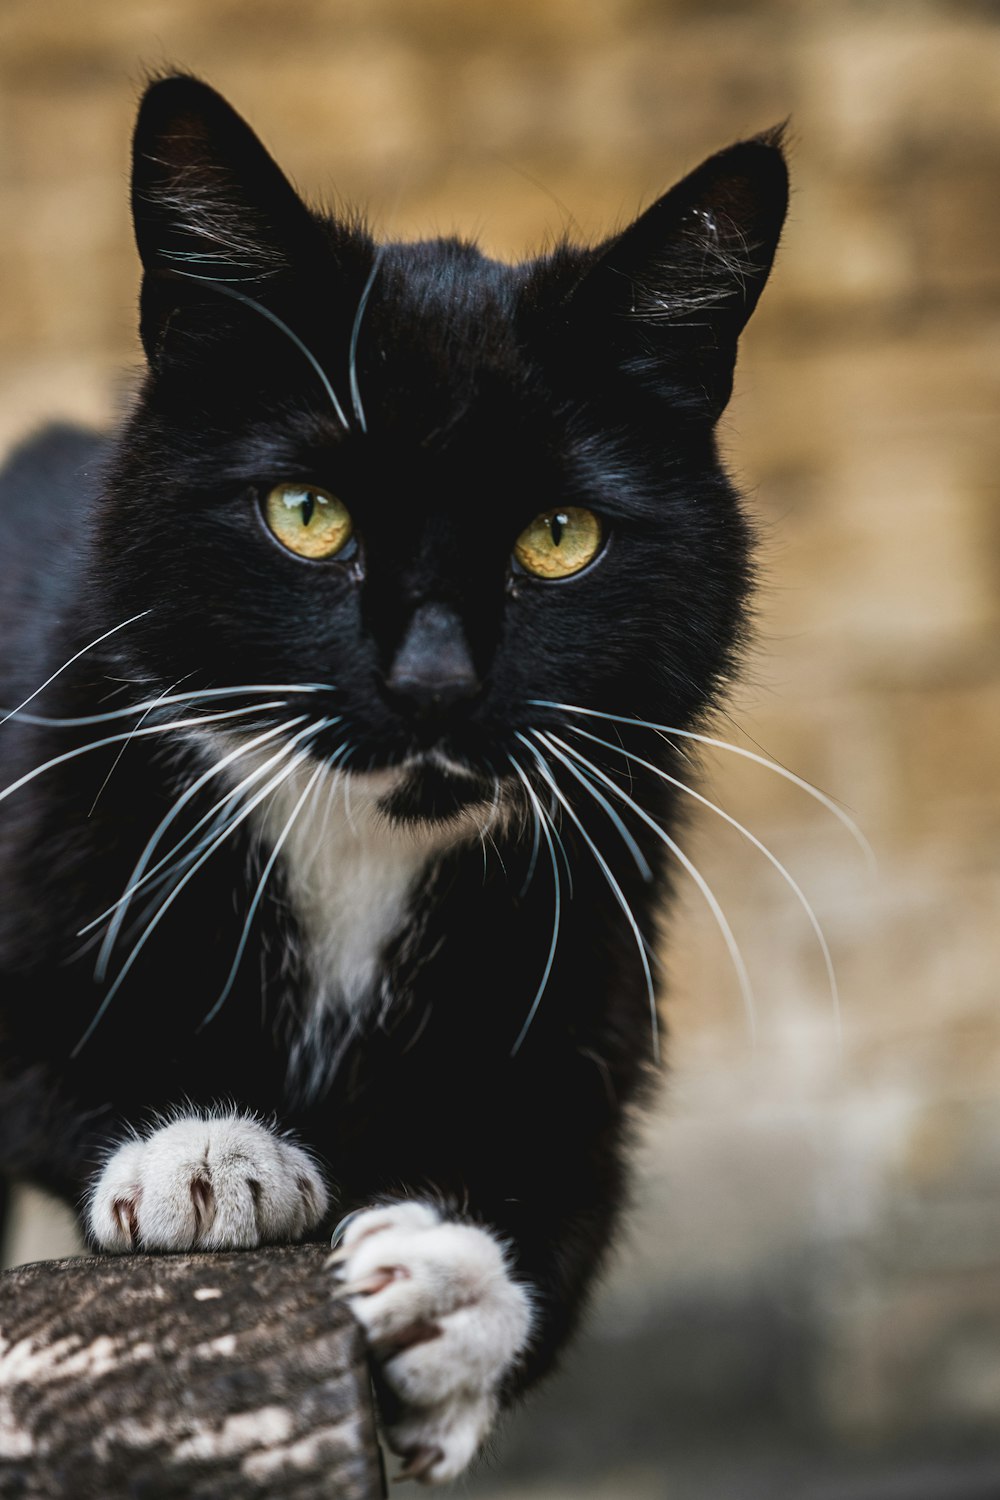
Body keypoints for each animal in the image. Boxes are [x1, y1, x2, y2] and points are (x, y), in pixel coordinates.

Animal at [0, 76, 785, 1482]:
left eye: (560, 536)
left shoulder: (592, 949)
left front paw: (449, 1293)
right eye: (307, 513)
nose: (431, 682)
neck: (363, 842)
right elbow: (45, 1060)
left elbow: (571, 1188)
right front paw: (206, 1152)